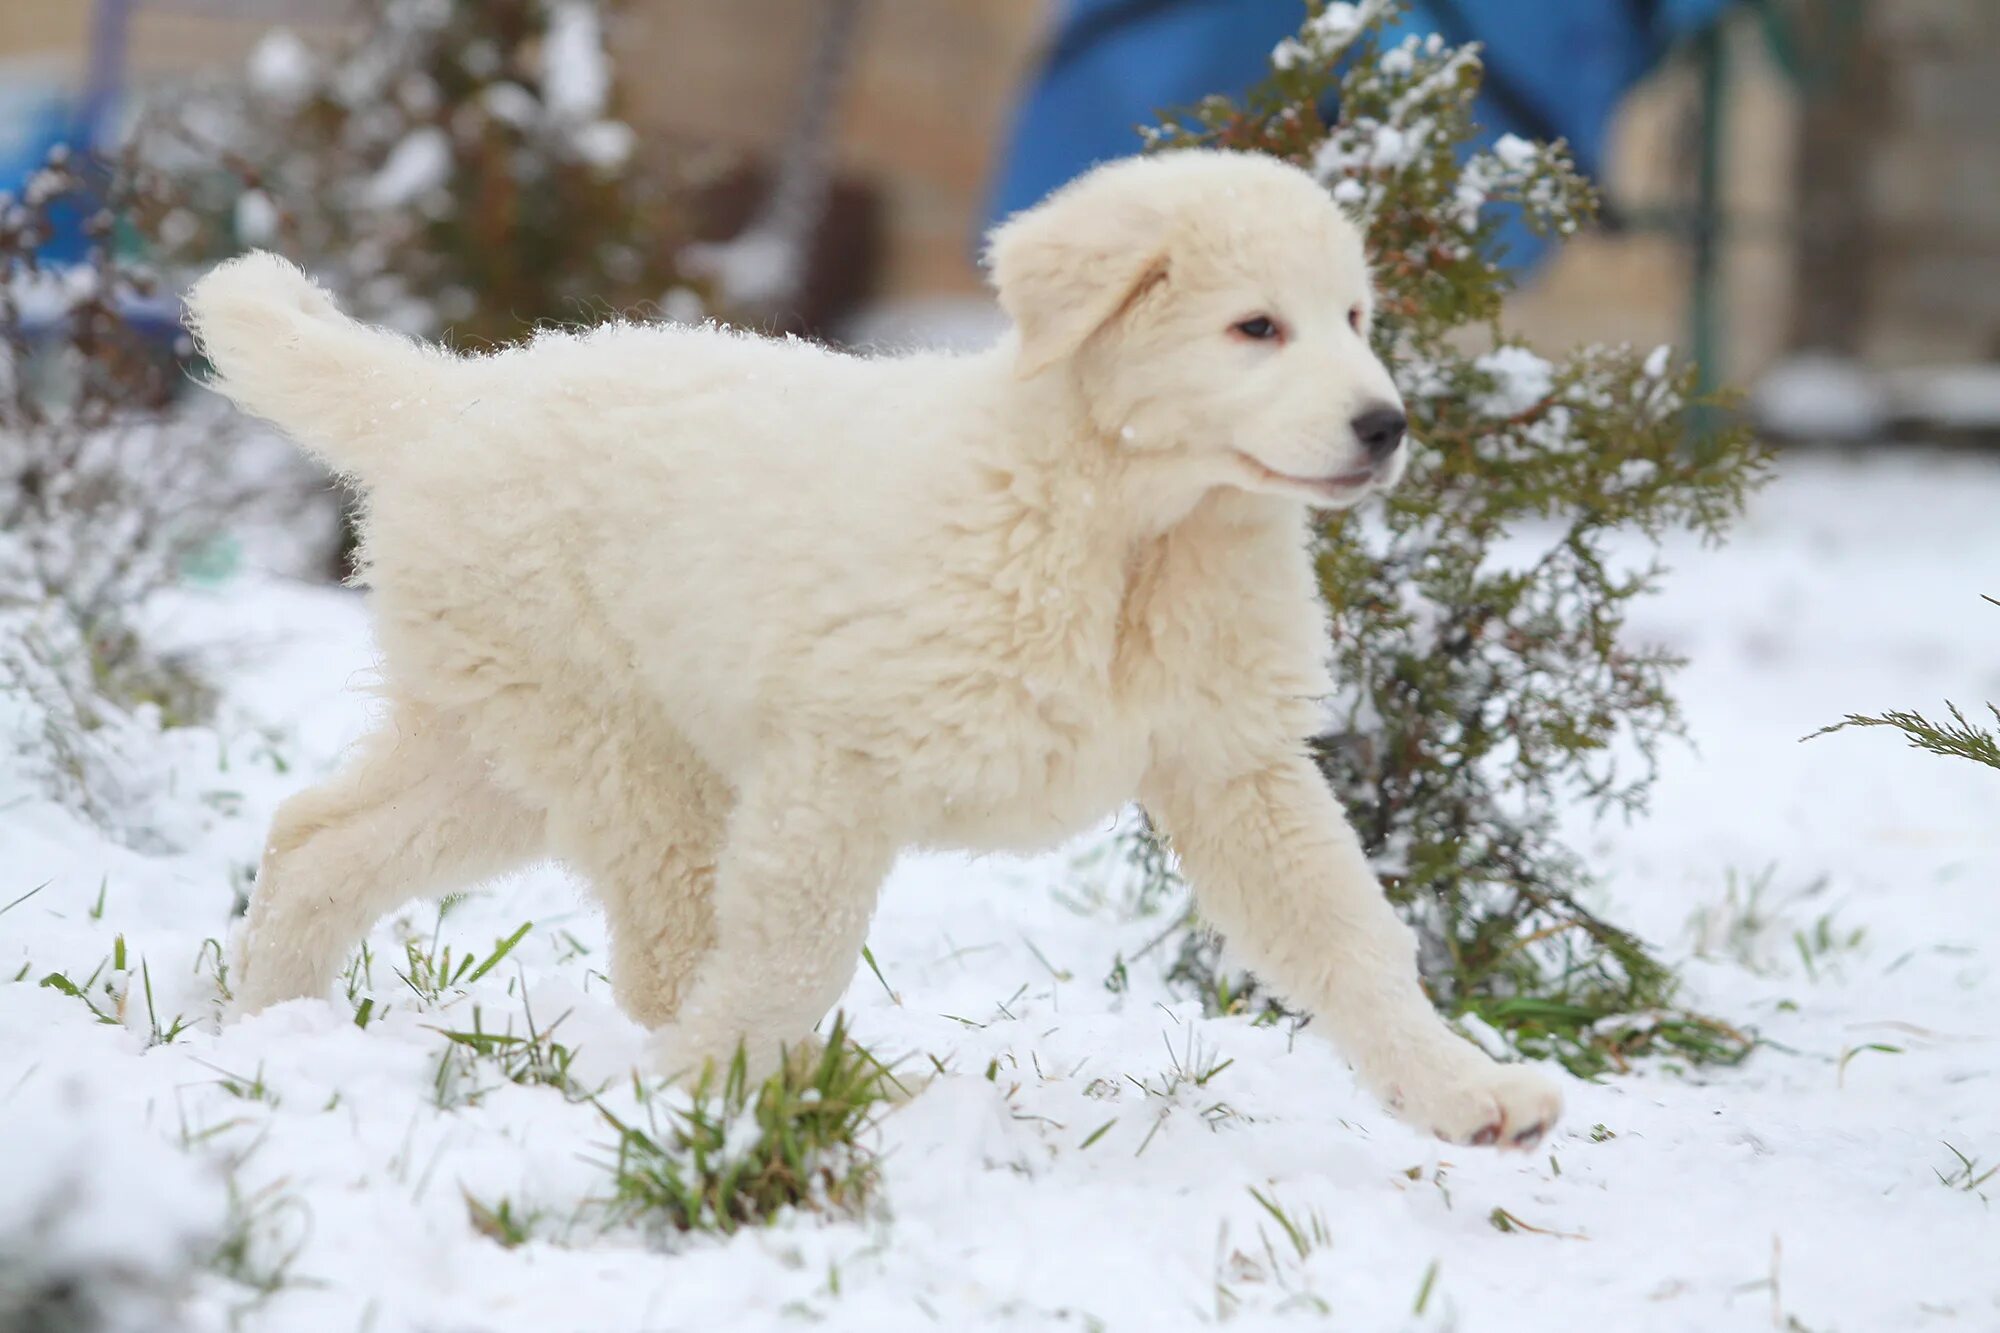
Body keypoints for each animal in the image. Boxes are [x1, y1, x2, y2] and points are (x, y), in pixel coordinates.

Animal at [188, 145, 1560, 1144]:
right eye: (1254, 329)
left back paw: (269, 1026)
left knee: (317, 839)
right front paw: (700, 1097)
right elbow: (788, 956)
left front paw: (1463, 1091)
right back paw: (756, 1097)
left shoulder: (1235, 767)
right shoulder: (834, 766)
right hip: (622, 748)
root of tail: (451, 393)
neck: (1124, 532)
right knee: (666, 949)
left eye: (1353, 316)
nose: (1384, 426)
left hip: (507, 739)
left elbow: (1351, 938)